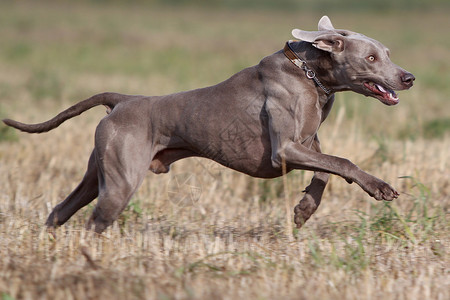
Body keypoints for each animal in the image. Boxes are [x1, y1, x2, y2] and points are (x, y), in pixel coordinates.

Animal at [2, 16, 414, 233]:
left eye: (388, 53)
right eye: (372, 58)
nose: (408, 77)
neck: (310, 73)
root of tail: (122, 100)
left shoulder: (307, 143)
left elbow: (326, 170)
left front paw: (303, 211)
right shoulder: (284, 149)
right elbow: (343, 162)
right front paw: (379, 187)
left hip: (97, 173)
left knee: (60, 210)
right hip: (120, 181)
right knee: (94, 220)